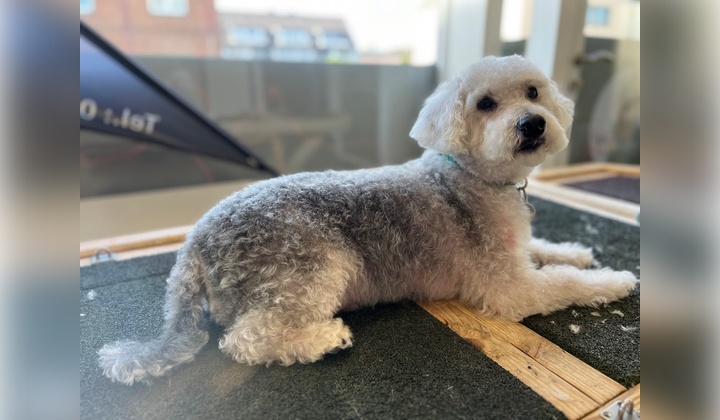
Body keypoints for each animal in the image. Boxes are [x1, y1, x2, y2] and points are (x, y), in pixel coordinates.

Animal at [99, 55, 638, 385]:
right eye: (486, 103)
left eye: (533, 91)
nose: (532, 123)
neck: (471, 175)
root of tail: (194, 242)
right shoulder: (511, 288)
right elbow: (566, 283)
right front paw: (615, 279)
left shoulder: (516, 250)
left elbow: (548, 251)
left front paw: (578, 251)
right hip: (313, 268)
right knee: (245, 340)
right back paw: (324, 340)